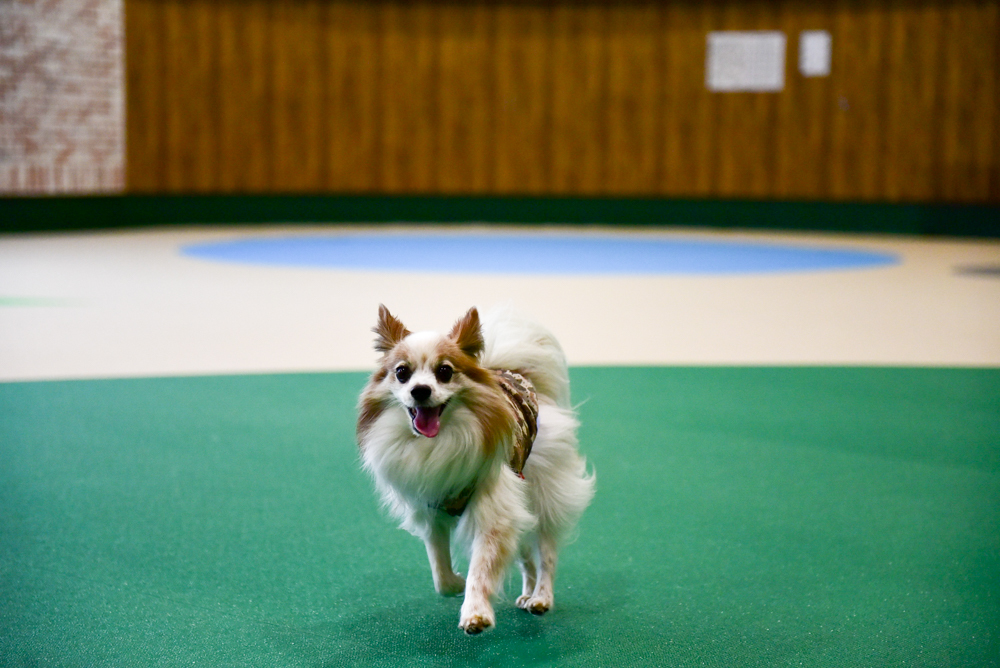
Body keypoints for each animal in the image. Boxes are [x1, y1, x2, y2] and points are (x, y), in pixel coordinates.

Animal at [358, 306, 592, 636]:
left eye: (445, 371)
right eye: (402, 373)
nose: (420, 390)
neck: (440, 442)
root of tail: (518, 376)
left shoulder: (494, 512)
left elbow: (480, 570)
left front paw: (476, 612)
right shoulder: (432, 510)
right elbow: (440, 573)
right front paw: (455, 583)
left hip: (543, 496)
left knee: (546, 555)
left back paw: (541, 598)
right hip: (521, 504)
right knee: (526, 558)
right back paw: (527, 593)